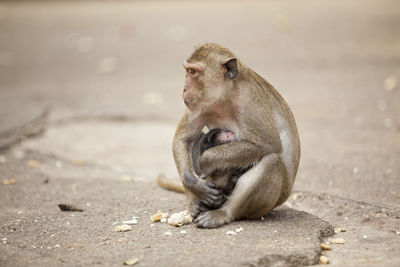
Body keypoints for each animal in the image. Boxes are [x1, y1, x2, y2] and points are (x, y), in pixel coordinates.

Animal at [172, 43, 300, 229]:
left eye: (193, 72)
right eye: (188, 70)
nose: (184, 89)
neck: (227, 96)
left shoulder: (250, 101)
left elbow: (268, 145)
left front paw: (206, 161)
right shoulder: (199, 104)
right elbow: (184, 139)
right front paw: (195, 186)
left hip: (265, 205)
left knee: (272, 162)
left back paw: (224, 213)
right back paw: (196, 203)